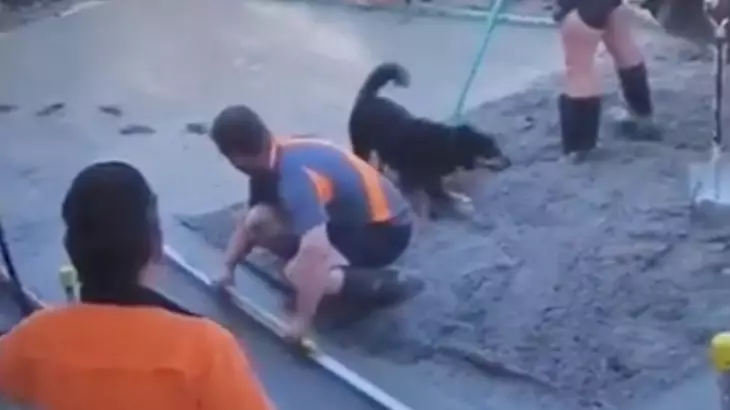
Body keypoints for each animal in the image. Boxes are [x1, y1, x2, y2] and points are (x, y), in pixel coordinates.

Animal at [348, 61, 512, 219]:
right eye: (492, 151)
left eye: (497, 148)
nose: (510, 162)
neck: (448, 143)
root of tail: (369, 97)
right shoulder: (421, 182)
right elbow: (444, 196)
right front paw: (462, 204)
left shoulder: (429, 181)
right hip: (362, 146)